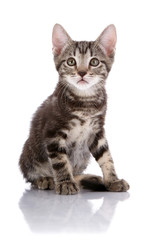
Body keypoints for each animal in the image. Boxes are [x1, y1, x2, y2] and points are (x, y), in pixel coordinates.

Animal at [18, 23, 129, 194]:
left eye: (94, 62)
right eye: (71, 61)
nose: (82, 72)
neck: (85, 102)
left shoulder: (97, 130)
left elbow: (106, 156)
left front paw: (113, 180)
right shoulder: (53, 133)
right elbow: (60, 160)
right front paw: (65, 183)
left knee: (76, 173)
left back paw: (89, 179)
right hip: (28, 153)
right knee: (32, 175)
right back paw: (46, 179)